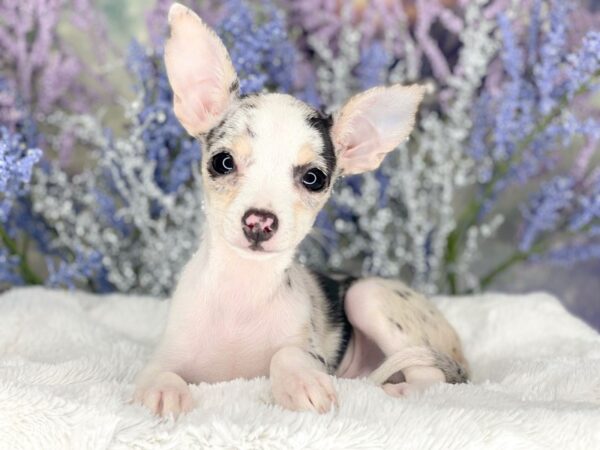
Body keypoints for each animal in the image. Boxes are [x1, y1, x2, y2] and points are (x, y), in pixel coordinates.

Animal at [134, 3, 466, 416]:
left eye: (313, 178)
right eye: (223, 162)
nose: (259, 222)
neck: (242, 292)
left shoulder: (310, 352)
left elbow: (287, 355)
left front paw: (300, 382)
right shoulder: (165, 355)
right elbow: (157, 372)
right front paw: (163, 391)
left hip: (368, 297)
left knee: (431, 378)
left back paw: (399, 392)